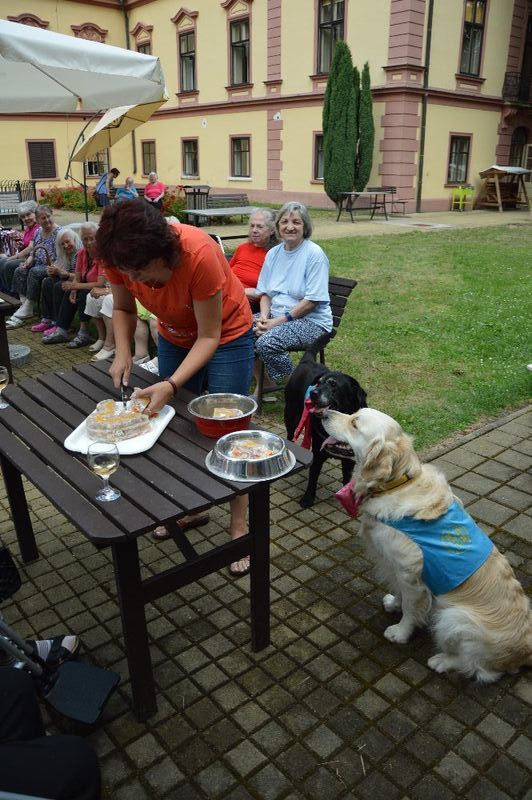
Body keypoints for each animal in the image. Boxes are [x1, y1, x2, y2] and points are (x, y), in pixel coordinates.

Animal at [286, 348, 366, 506]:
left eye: (333, 384)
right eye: (318, 383)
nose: (313, 393)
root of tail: (308, 360)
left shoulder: (349, 460)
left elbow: (346, 480)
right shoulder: (317, 454)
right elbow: (313, 477)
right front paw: (308, 498)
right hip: (290, 416)